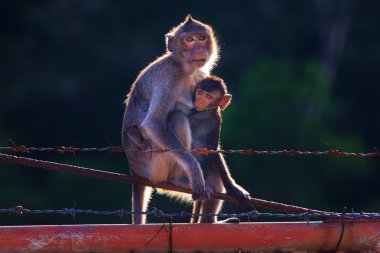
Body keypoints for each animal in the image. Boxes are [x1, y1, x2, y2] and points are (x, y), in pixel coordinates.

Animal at [121, 15, 217, 223]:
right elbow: (153, 123)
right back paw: (179, 179)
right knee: (177, 118)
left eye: (202, 38)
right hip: (152, 161)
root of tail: (135, 171)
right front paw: (195, 171)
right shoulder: (170, 76)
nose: (199, 48)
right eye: (189, 40)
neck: (184, 68)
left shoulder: (200, 76)